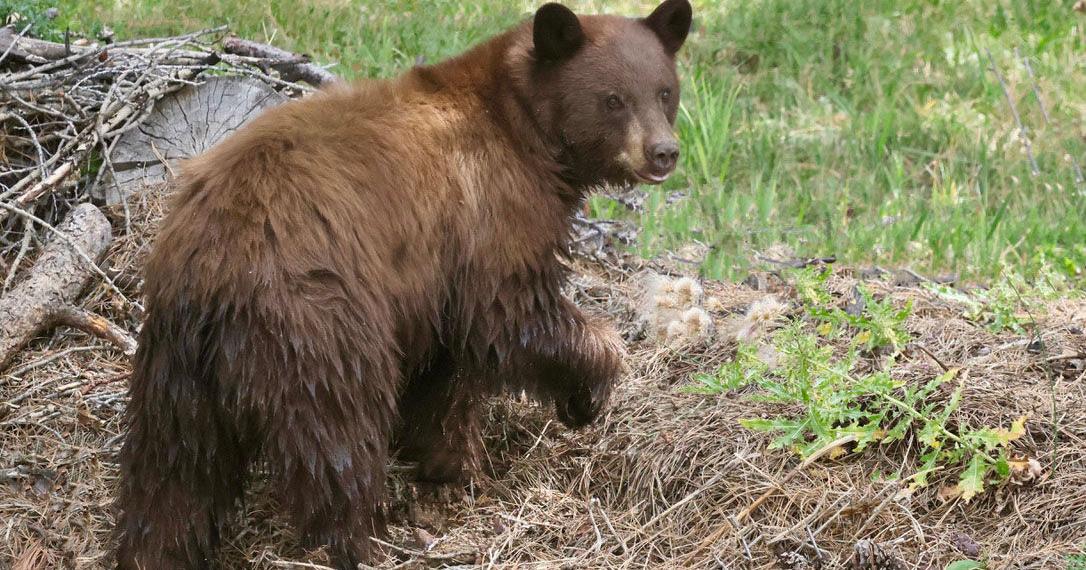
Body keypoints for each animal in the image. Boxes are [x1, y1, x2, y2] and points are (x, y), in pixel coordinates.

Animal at [113, 1, 692, 568]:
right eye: (613, 99)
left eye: (665, 90)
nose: (663, 152)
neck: (524, 129)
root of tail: (214, 267)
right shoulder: (488, 213)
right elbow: (510, 316)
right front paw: (588, 389)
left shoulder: (435, 284)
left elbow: (446, 375)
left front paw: (446, 464)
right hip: (318, 323)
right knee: (337, 436)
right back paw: (364, 539)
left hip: (175, 367)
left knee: (174, 471)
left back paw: (155, 549)